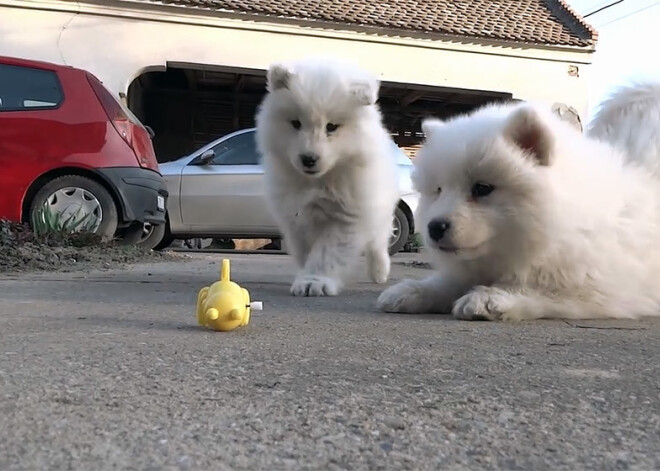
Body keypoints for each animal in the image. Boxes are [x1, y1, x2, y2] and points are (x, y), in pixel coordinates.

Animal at [254, 58, 398, 296]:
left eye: (331, 127)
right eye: (296, 123)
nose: (308, 159)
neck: (319, 182)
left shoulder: (347, 215)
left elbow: (326, 253)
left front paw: (315, 281)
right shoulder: (296, 216)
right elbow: (306, 251)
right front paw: (305, 275)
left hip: (380, 212)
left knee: (378, 243)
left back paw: (379, 272)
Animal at [378, 86, 660, 320]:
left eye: (482, 188)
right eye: (438, 190)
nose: (435, 227)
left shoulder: (601, 289)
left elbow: (544, 291)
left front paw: (491, 298)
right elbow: (448, 282)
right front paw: (413, 290)